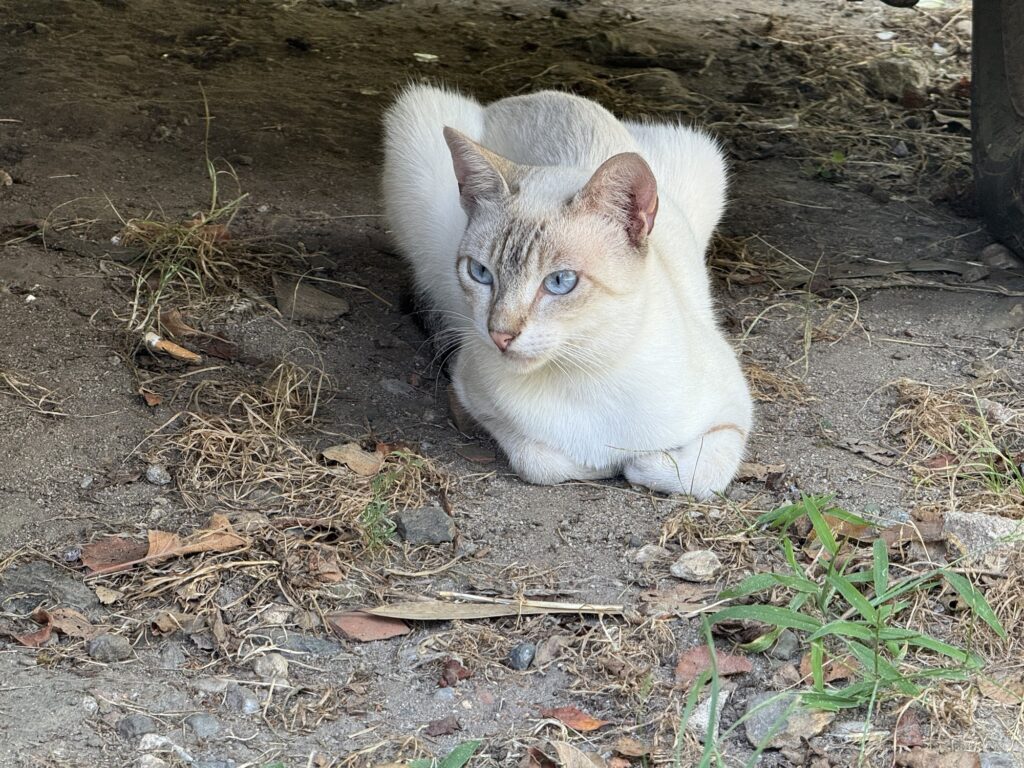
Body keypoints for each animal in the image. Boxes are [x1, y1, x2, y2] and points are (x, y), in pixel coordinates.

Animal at [382, 84, 752, 499]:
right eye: (480, 273)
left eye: (560, 281)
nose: (500, 334)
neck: (585, 369)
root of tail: (536, 94)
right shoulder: (472, 393)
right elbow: (542, 462)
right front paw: (607, 466)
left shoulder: (734, 412)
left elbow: (700, 475)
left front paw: (642, 464)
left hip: (703, 156)